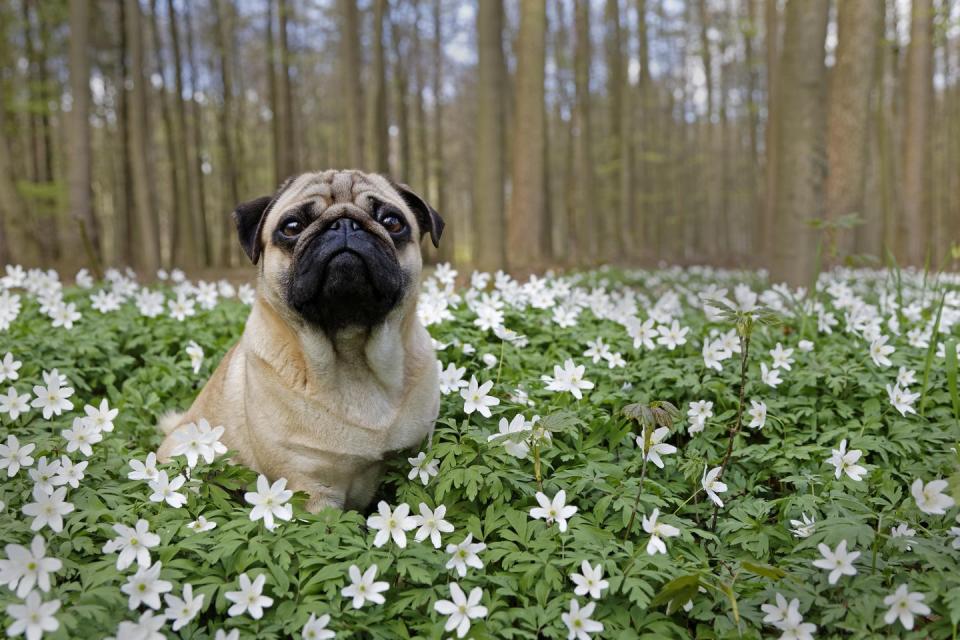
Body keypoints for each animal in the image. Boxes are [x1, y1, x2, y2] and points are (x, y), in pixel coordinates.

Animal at [156, 170, 444, 510]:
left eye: (392, 222)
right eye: (292, 227)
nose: (345, 224)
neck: (351, 355)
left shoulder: (415, 457)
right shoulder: (311, 489)